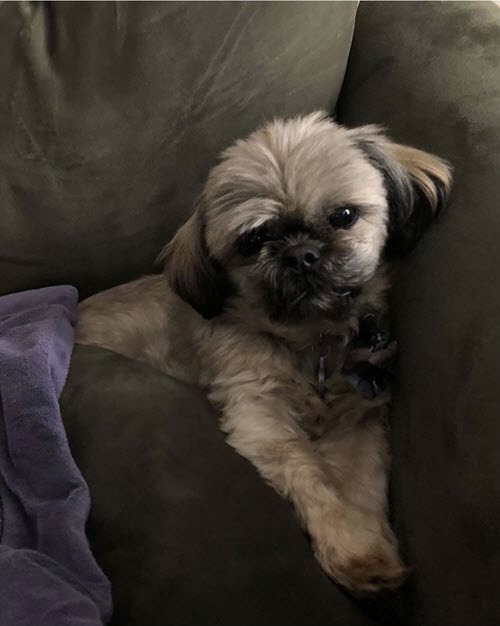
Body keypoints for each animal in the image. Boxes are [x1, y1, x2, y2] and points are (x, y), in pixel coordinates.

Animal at [76, 112, 452, 588]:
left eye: (344, 215)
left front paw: (368, 549)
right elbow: (309, 472)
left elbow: (360, 484)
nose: (301, 254)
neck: (311, 342)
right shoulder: (258, 416)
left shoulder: (359, 420)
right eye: (253, 241)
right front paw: (350, 547)